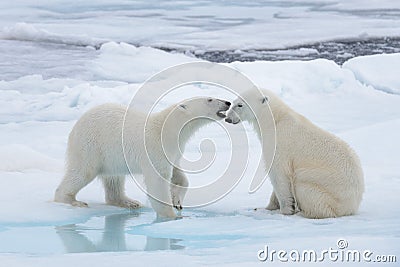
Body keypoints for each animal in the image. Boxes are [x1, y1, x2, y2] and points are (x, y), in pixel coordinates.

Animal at [55, 97, 231, 219]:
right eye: (209, 99)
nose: (228, 102)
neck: (167, 129)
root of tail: (77, 124)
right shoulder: (155, 148)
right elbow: (157, 181)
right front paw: (170, 215)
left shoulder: (173, 151)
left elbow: (179, 175)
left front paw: (177, 202)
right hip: (91, 145)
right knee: (82, 172)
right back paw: (71, 200)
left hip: (112, 157)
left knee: (114, 179)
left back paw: (128, 202)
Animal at [225, 90, 366, 220]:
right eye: (233, 102)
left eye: (240, 105)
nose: (228, 118)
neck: (275, 119)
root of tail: (352, 206)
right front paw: (268, 207)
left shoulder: (280, 143)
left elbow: (279, 174)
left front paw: (285, 210)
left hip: (327, 189)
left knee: (304, 185)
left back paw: (304, 212)